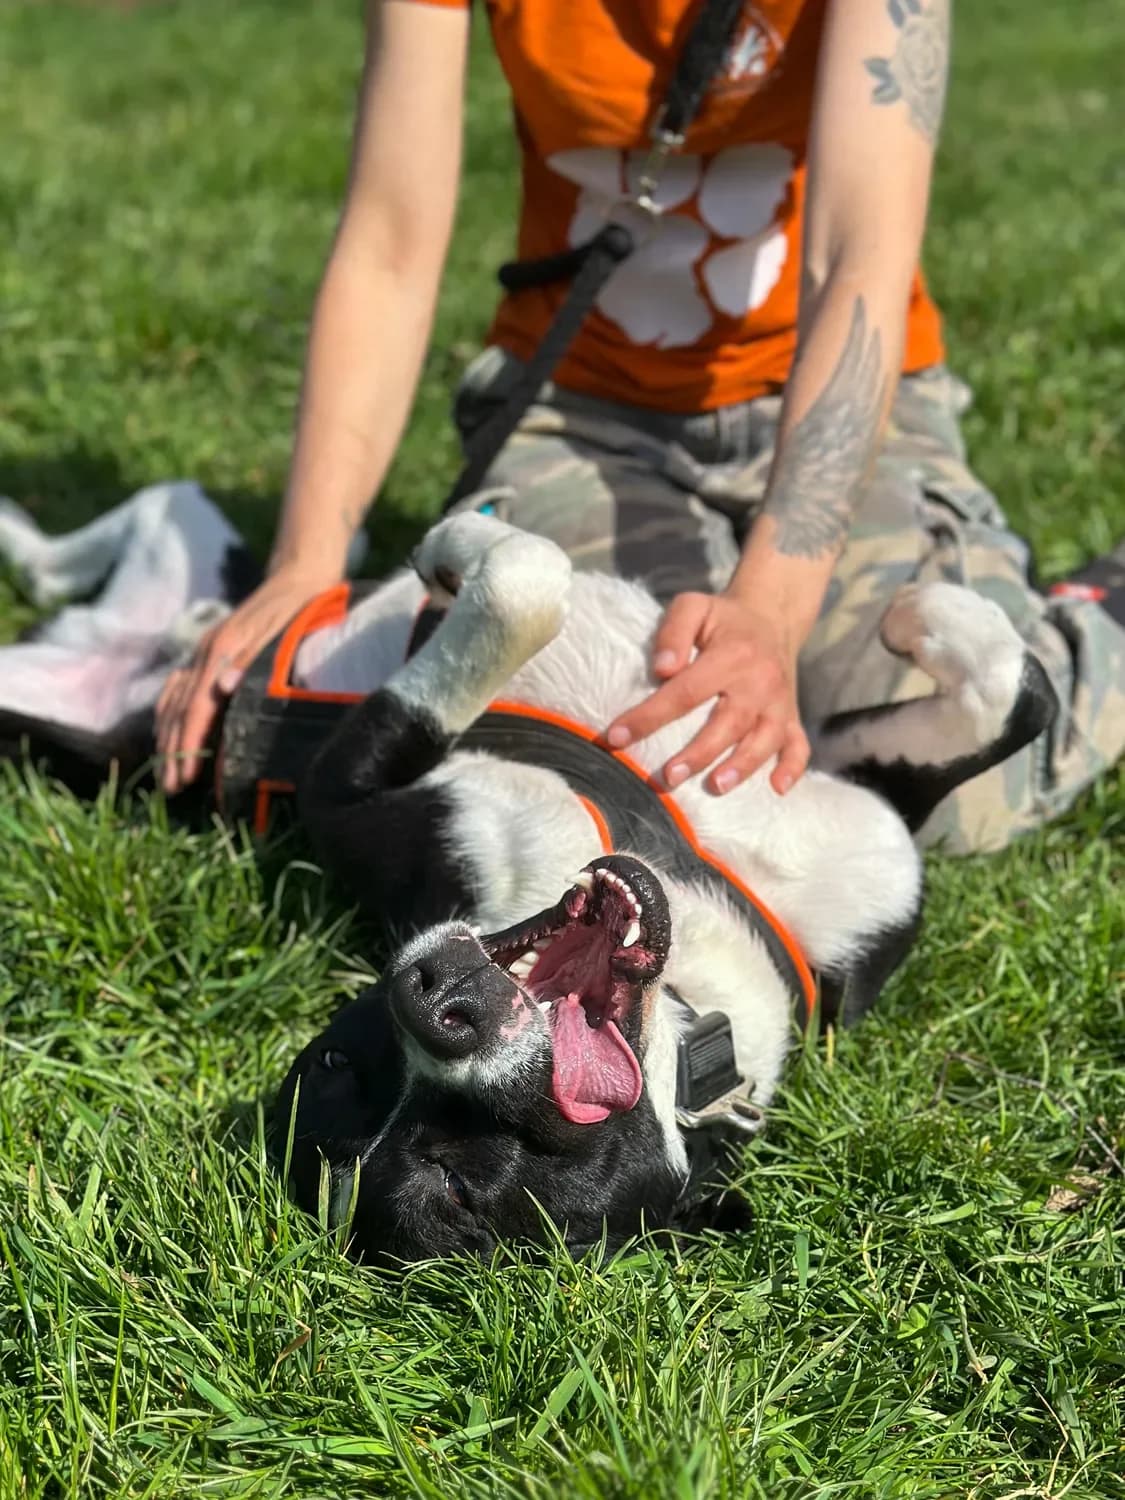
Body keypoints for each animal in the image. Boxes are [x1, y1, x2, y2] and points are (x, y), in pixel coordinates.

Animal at [0, 482, 1058, 1258]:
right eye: (463, 1183)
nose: (433, 1000)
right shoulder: (345, 787)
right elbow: (524, 583)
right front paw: (463, 543)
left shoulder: (870, 836)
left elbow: (1021, 694)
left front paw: (920, 610)